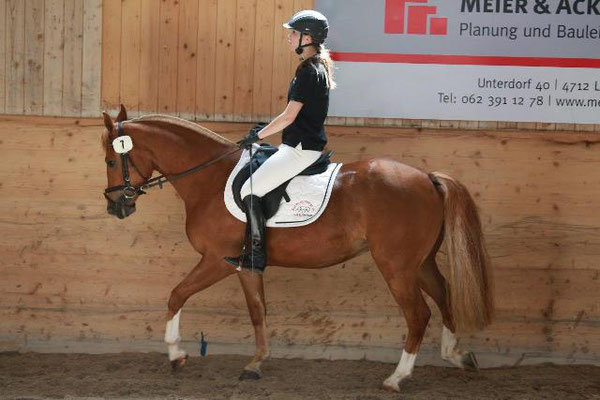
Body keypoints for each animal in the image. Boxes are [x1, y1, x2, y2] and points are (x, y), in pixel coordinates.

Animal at [102, 105, 492, 390]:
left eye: (109, 160)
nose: (116, 207)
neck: (209, 179)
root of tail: (426, 177)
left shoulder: (217, 260)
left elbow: (176, 295)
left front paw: (175, 355)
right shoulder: (245, 264)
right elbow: (257, 311)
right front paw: (256, 363)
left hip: (396, 266)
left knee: (418, 314)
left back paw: (397, 378)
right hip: (420, 263)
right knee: (444, 294)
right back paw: (456, 355)